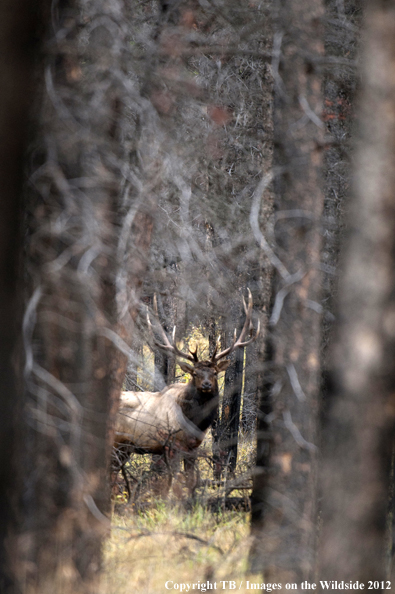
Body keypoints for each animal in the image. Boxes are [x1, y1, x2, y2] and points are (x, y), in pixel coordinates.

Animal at [113, 290, 260, 498]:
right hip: (117, 442)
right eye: (195, 373)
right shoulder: (172, 445)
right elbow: (172, 481)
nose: (206, 384)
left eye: (215, 372)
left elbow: (190, 480)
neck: (195, 421)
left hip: (125, 448)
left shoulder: (193, 448)